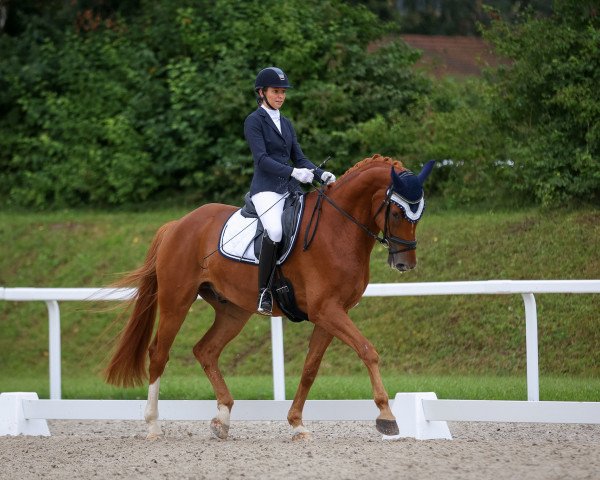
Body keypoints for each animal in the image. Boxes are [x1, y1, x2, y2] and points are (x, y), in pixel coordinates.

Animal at [105, 156, 434, 440]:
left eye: (419, 214)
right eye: (396, 212)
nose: (405, 263)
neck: (338, 229)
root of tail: (178, 224)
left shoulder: (331, 314)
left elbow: (310, 368)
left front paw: (297, 423)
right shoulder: (327, 310)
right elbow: (368, 350)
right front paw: (387, 416)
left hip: (233, 311)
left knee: (205, 351)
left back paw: (222, 419)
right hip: (177, 301)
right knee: (159, 353)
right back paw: (152, 424)